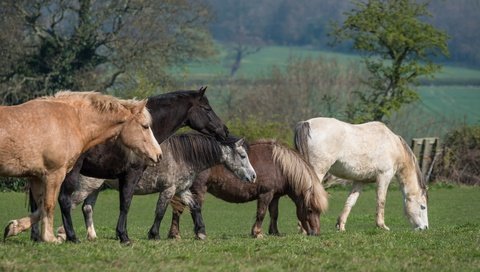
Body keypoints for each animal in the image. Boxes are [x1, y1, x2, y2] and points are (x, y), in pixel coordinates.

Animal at [0, 91, 162, 242]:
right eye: (145, 126)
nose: (159, 155)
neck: (69, 121)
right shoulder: (54, 174)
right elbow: (50, 204)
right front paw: (50, 238)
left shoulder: (36, 177)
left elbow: (41, 206)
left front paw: (13, 228)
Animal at [31, 87, 230, 244]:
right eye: (207, 108)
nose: (225, 130)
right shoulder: (132, 174)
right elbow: (126, 203)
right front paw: (124, 236)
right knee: (64, 200)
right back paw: (70, 237)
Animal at [55, 133, 255, 241]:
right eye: (243, 155)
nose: (253, 177)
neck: (182, 155)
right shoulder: (168, 189)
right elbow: (160, 211)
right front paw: (154, 234)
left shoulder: (181, 189)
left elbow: (195, 206)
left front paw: (201, 233)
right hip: (85, 187)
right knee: (69, 205)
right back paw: (63, 235)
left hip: (95, 188)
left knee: (87, 208)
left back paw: (92, 236)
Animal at [167, 139, 328, 239]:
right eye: (309, 210)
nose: (316, 233)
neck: (279, 166)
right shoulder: (265, 194)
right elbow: (261, 213)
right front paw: (257, 233)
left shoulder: (275, 196)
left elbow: (274, 214)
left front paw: (274, 232)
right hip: (198, 190)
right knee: (191, 209)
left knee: (178, 209)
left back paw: (174, 234)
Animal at [294, 117, 430, 232]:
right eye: (423, 206)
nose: (425, 228)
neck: (394, 146)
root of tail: (306, 123)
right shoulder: (384, 176)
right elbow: (381, 200)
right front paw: (382, 226)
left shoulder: (360, 181)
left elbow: (350, 202)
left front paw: (341, 226)